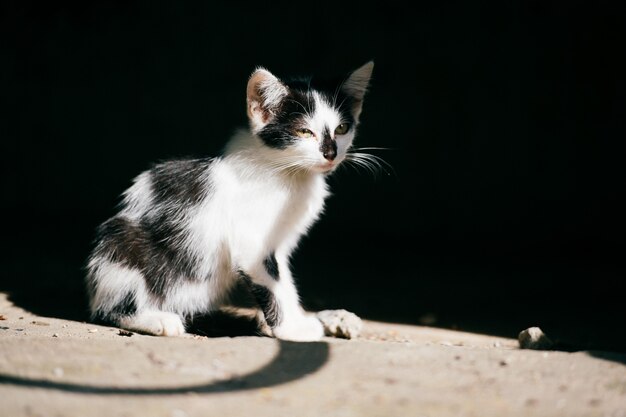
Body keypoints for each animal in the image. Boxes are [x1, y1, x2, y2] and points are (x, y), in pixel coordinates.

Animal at [85, 62, 372, 342]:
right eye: (304, 131)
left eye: (341, 129)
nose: (331, 153)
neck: (285, 170)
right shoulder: (252, 241)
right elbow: (273, 283)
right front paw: (292, 330)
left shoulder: (279, 244)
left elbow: (285, 281)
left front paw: (299, 320)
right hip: (124, 245)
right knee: (108, 308)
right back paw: (157, 319)